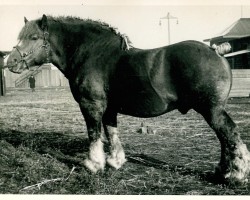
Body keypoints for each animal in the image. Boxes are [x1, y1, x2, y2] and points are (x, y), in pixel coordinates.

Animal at [5, 14, 250, 184]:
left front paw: (94, 164)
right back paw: (222, 172)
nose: (10, 61)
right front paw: (115, 161)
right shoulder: (109, 108)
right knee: (225, 139)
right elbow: (111, 132)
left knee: (230, 135)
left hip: (212, 110)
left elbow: (94, 133)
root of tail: (216, 50)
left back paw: (235, 175)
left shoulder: (91, 105)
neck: (92, 53)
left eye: (34, 37)